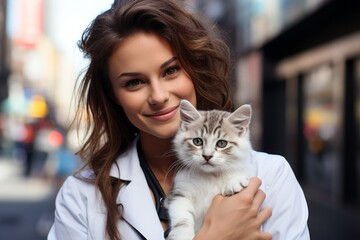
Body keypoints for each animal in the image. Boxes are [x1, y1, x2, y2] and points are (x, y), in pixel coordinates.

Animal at [167, 99, 255, 240]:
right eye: (197, 141)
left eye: (222, 143)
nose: (207, 156)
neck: (209, 176)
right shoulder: (180, 194)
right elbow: (181, 216)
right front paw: (182, 234)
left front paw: (234, 180)